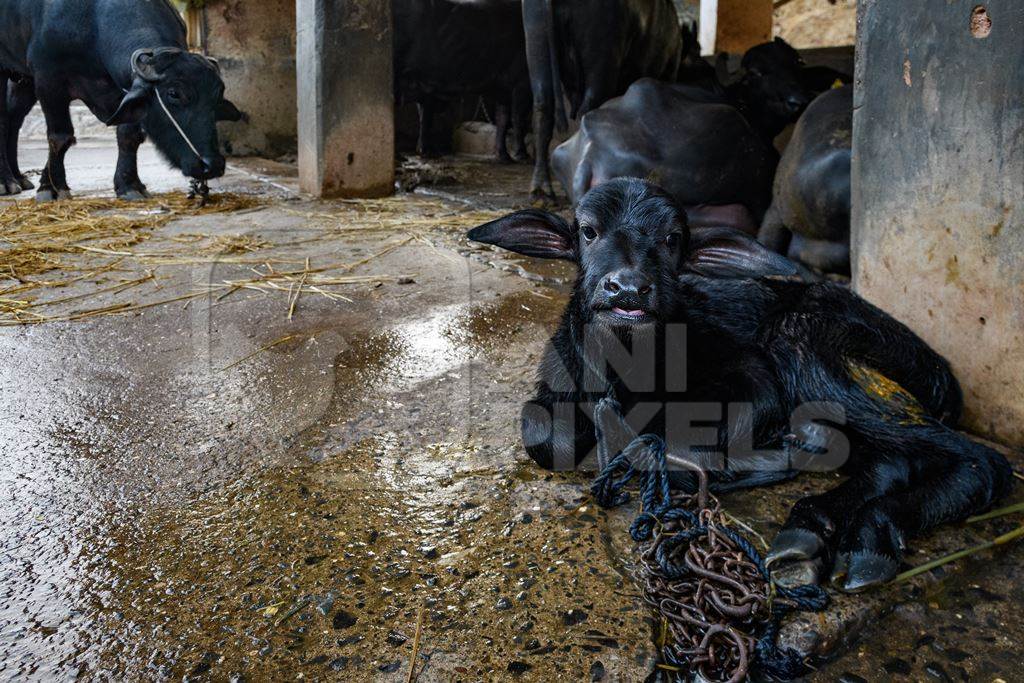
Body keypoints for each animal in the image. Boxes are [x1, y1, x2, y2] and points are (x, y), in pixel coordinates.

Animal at [0, 0, 241, 200]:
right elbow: (60, 137)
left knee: (14, 117)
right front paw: (52, 187)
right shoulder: (48, 80)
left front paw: (129, 185)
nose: (212, 165)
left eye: (216, 97)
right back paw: (6, 182)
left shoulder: (122, 91)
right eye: (174, 93)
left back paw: (18, 177)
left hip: (24, 80)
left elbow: (129, 136)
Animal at [393, 0, 532, 161]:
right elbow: (518, 119)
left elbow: (502, 120)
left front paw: (503, 155)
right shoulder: (522, 82)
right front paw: (522, 154)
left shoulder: (503, 88)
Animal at [468, 178, 1011, 593]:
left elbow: (678, 445)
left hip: (808, 343)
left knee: (978, 463)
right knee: (892, 458)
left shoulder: (753, 382)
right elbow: (545, 436)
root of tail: (939, 368)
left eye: (672, 238)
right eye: (587, 231)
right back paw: (811, 533)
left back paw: (859, 537)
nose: (627, 289)